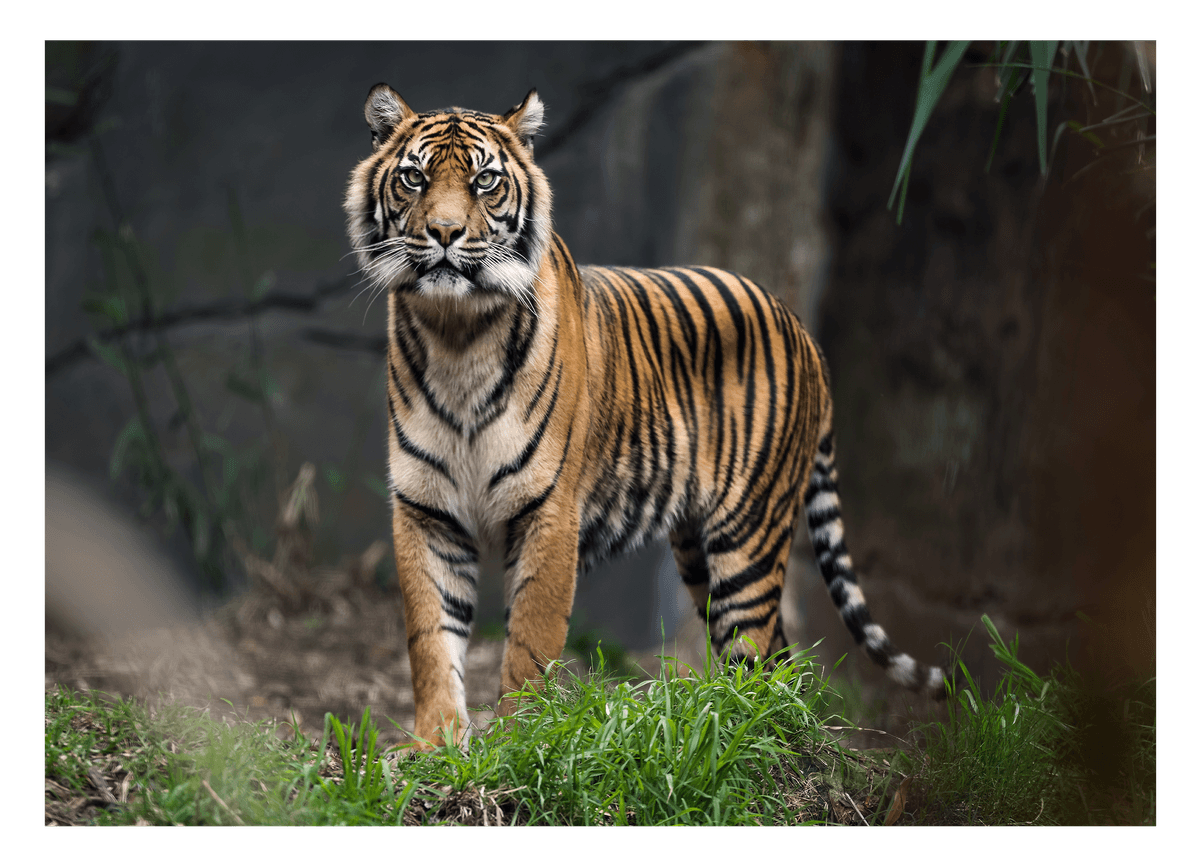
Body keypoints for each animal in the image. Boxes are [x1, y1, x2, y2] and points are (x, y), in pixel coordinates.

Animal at [343, 84, 947, 750]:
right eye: (414, 178)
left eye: (485, 181)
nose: (445, 232)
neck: (457, 334)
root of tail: (804, 332)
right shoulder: (427, 511)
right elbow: (430, 639)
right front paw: (435, 746)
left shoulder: (548, 512)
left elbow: (529, 642)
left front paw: (519, 743)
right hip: (697, 546)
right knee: (777, 656)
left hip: (748, 536)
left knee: (758, 647)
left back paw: (743, 731)